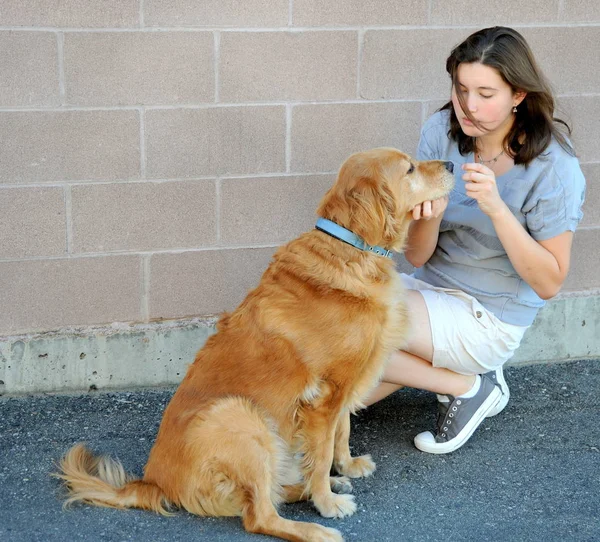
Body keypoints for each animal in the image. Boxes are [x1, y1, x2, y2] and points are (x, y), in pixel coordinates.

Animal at [56, 149, 454, 542]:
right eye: (410, 168)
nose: (452, 164)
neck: (350, 247)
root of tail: (153, 482)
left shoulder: (345, 385)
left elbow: (342, 432)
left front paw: (346, 467)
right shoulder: (325, 397)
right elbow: (322, 452)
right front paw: (326, 501)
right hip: (241, 417)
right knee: (260, 516)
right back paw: (316, 526)